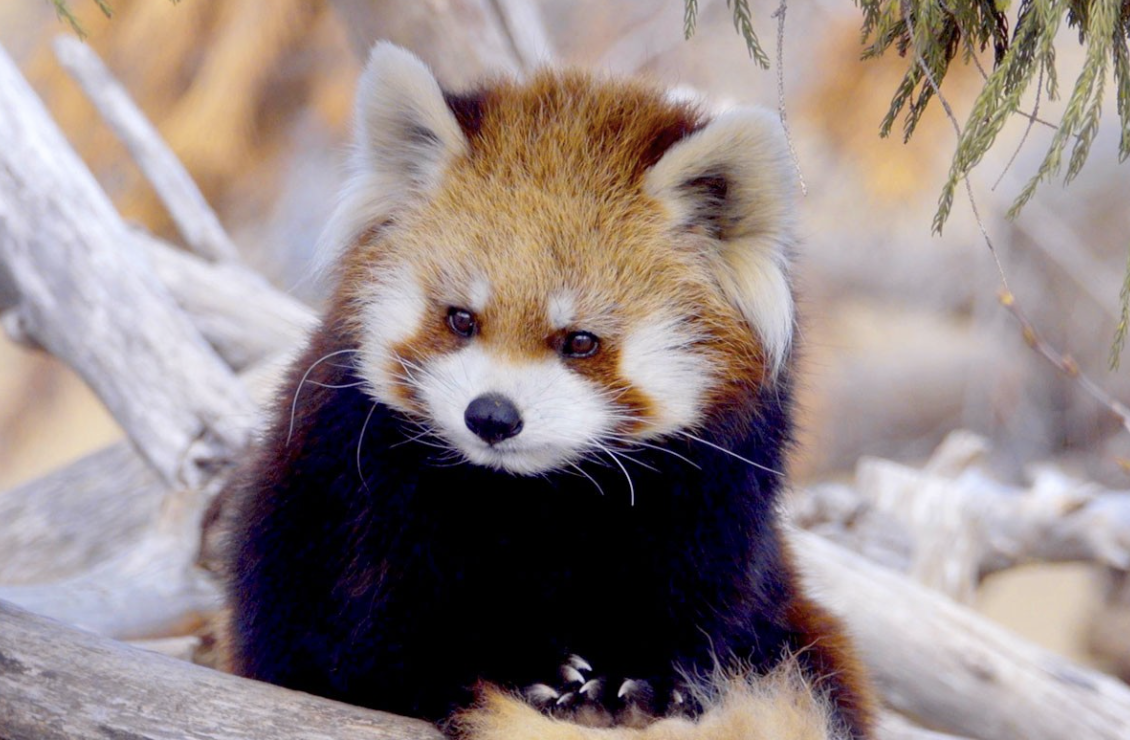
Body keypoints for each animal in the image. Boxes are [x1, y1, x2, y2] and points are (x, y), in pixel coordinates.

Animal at [220, 42, 872, 740]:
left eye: (580, 341)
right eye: (460, 319)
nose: (492, 416)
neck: (535, 498)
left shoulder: (711, 503)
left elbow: (697, 610)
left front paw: (636, 679)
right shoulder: (351, 491)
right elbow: (373, 633)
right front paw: (515, 667)